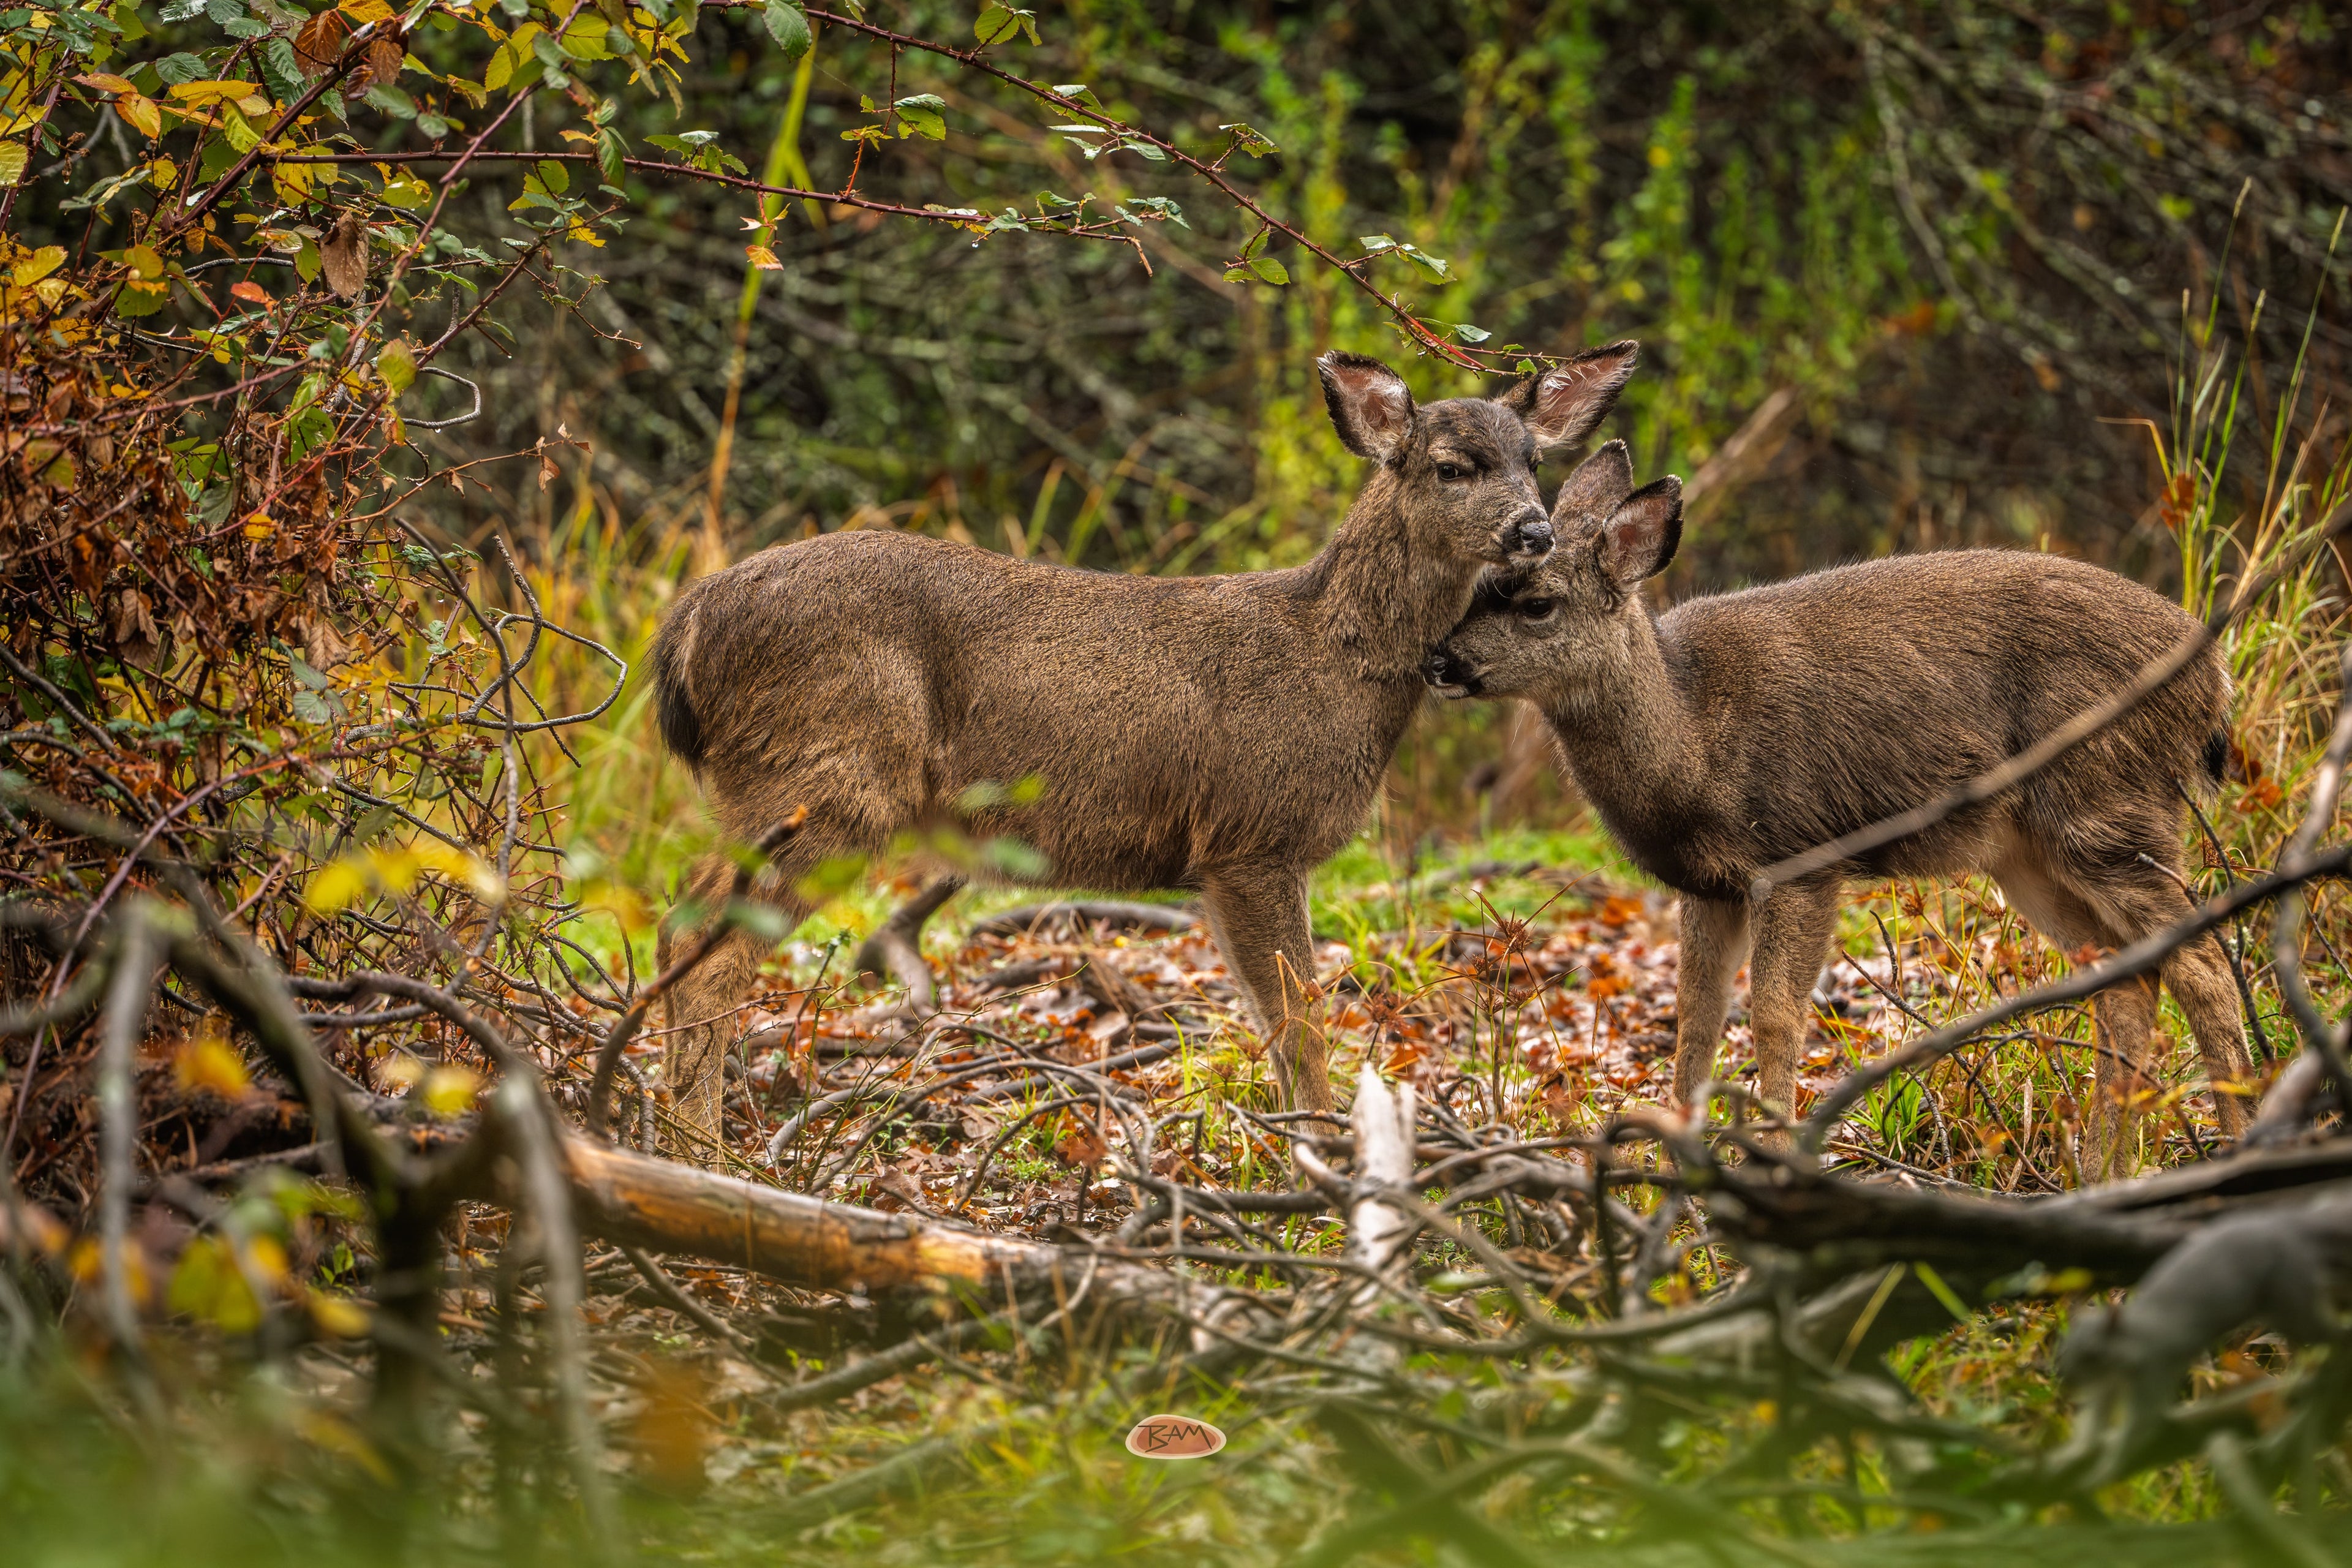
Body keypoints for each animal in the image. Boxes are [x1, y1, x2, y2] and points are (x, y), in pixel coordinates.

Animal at [645, 340, 1641, 1164]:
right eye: (1452, 466)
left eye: (1534, 461)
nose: (1534, 530)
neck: (1329, 659)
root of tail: (686, 628)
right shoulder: (1254, 832)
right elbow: (1299, 1017)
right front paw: (1324, 1159)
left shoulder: (1218, 858)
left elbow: (1268, 1017)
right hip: (828, 775)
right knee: (705, 937)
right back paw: (704, 1153)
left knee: (682, 917)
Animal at [1422, 440, 2254, 1171]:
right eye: (1481, 584)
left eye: (1537, 603)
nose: (1436, 658)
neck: (1693, 744)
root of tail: (2215, 677)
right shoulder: (1709, 885)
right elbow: (1696, 1019)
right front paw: (1676, 1176)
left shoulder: (1800, 854)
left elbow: (1773, 1015)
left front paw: (1772, 1157)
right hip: (2031, 853)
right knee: (2129, 976)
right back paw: (2104, 1168)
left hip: (2108, 801)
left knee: (2204, 962)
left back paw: (2236, 1143)